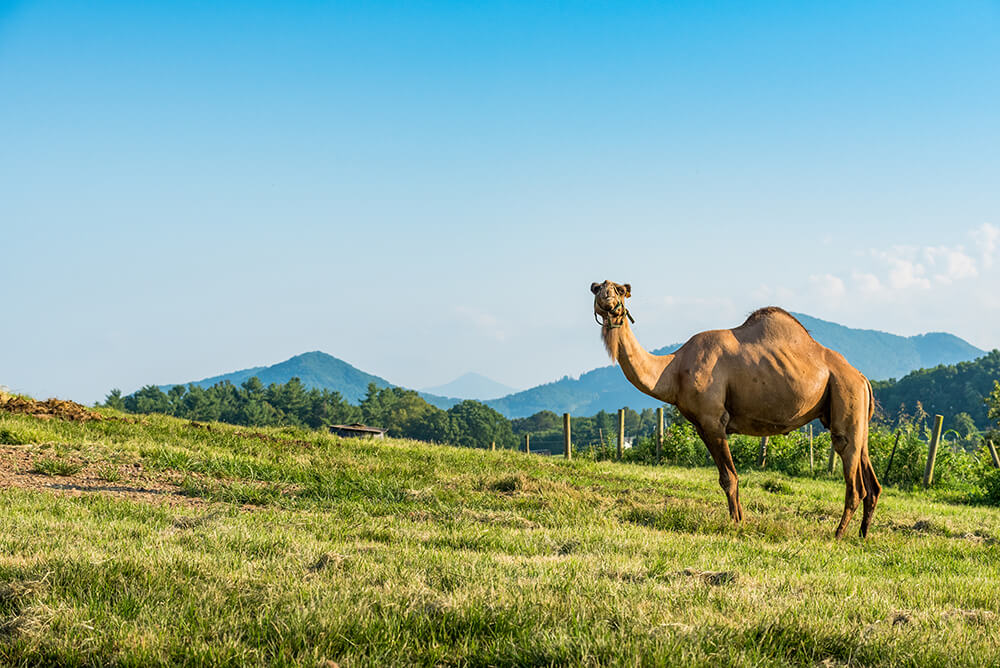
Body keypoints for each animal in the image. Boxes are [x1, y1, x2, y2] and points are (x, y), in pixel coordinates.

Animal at [591, 280, 881, 538]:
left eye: (619, 289)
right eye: (597, 288)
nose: (607, 298)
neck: (673, 370)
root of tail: (862, 378)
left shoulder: (713, 419)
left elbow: (729, 477)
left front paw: (737, 524)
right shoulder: (700, 425)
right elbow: (725, 477)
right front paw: (739, 520)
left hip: (845, 393)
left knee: (854, 479)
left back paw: (838, 534)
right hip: (856, 415)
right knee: (872, 482)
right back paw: (863, 534)